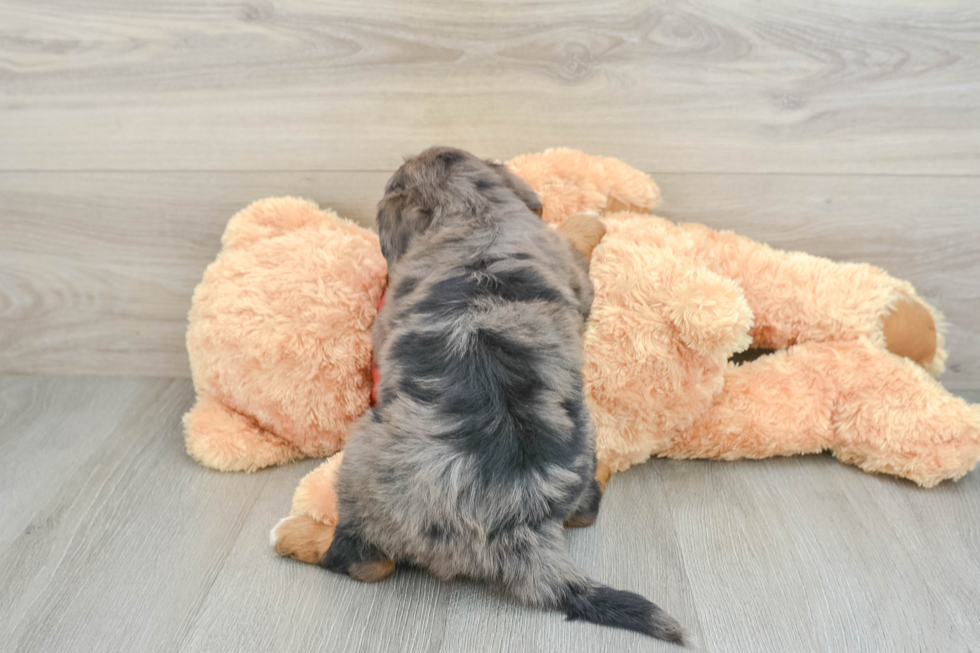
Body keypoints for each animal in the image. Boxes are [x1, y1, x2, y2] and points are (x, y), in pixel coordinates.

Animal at [320, 146, 680, 640]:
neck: (474, 215)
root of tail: (516, 525)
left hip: (358, 461)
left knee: (363, 562)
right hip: (584, 442)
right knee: (585, 510)